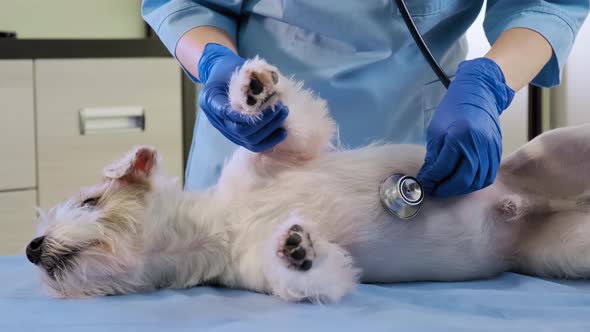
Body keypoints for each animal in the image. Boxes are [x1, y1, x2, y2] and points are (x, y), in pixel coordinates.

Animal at [25, 58, 590, 302]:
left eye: (91, 200)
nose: (31, 248)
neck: (219, 225)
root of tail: (524, 205)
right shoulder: (255, 269)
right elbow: (310, 278)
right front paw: (298, 250)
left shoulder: (284, 152)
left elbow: (291, 123)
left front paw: (251, 90)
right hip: (563, 250)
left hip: (560, 146)